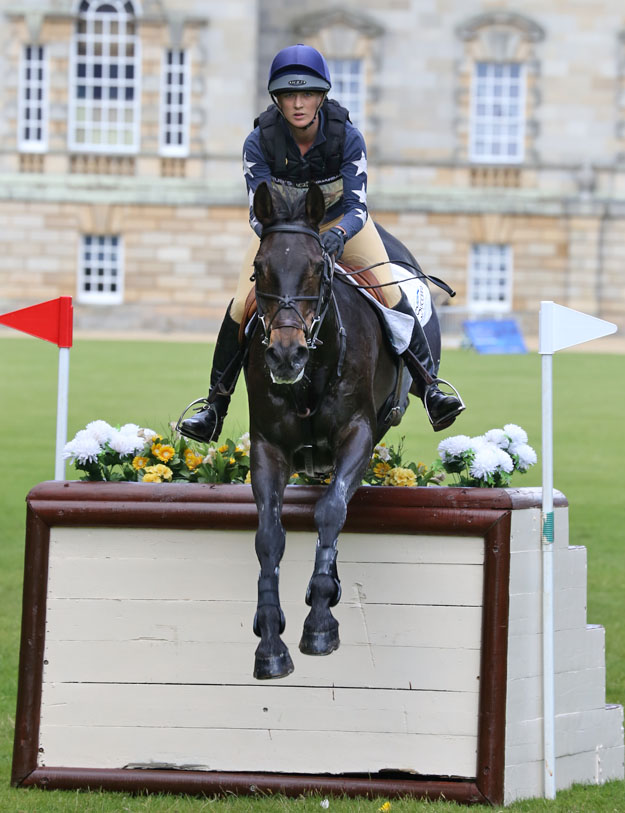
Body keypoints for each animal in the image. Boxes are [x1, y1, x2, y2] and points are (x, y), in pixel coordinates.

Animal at [245, 182, 444, 680]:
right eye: (259, 270)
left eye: (319, 269)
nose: (285, 355)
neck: (312, 371)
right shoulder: (268, 447)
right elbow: (269, 536)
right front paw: (270, 640)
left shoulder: (358, 435)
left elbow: (332, 511)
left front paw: (319, 621)